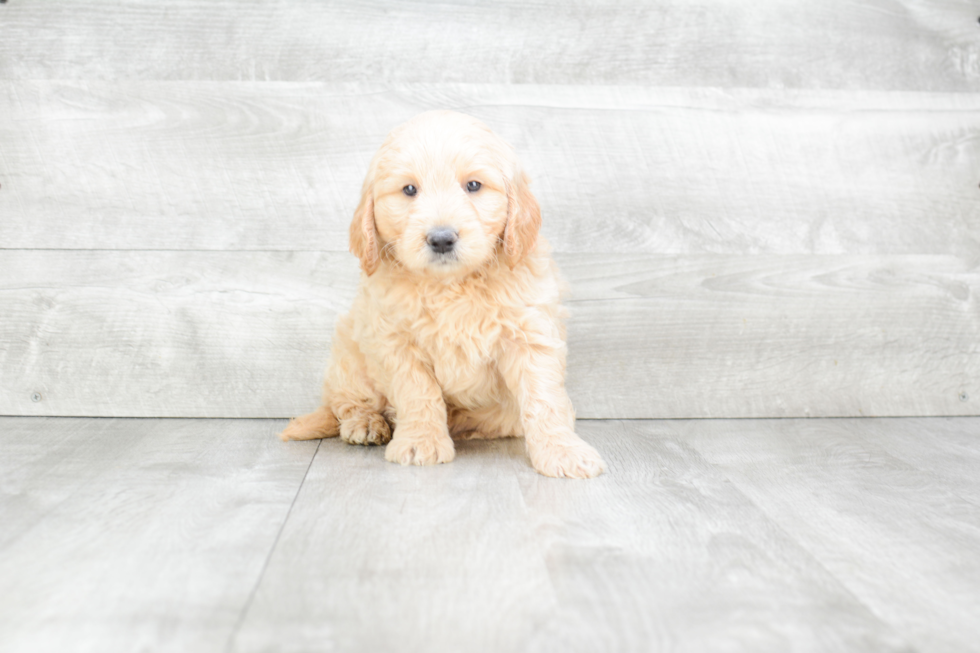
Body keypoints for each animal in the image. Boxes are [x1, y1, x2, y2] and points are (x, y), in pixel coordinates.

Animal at [278, 111, 604, 478]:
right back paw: (367, 423)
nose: (442, 239)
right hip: (349, 352)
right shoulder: (393, 340)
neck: (451, 285)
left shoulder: (530, 333)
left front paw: (563, 450)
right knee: (344, 402)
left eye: (473, 185)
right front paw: (420, 442)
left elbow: (543, 398)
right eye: (409, 189)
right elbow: (417, 392)